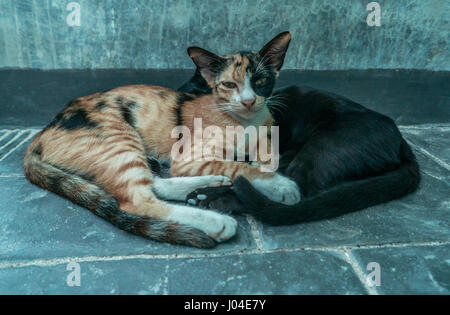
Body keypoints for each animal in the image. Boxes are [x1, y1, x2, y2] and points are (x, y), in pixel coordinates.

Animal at [23, 32, 298, 249]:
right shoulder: (189, 158)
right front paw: (281, 186)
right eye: (229, 85)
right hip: (119, 138)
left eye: (261, 80)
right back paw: (216, 222)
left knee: (152, 183)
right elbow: (241, 166)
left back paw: (208, 183)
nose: (248, 101)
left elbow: (262, 161)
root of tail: (41, 133)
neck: (247, 122)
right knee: (138, 200)